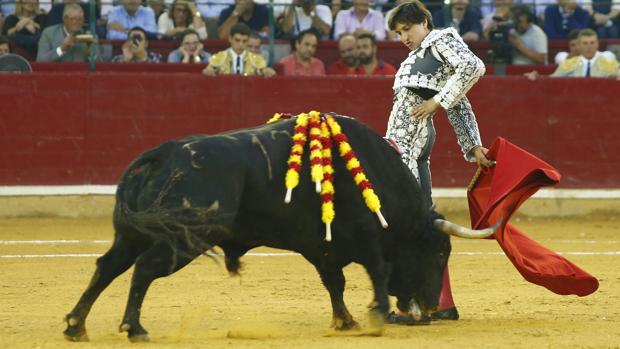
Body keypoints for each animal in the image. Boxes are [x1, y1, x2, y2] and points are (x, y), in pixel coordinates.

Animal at [63, 113, 490, 340]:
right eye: (439, 253)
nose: (432, 307)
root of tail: (165, 152)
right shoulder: (367, 237)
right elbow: (378, 271)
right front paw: (377, 314)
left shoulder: (322, 247)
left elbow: (334, 283)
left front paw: (346, 320)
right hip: (184, 239)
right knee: (144, 269)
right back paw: (134, 327)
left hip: (133, 234)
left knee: (108, 267)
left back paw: (76, 325)